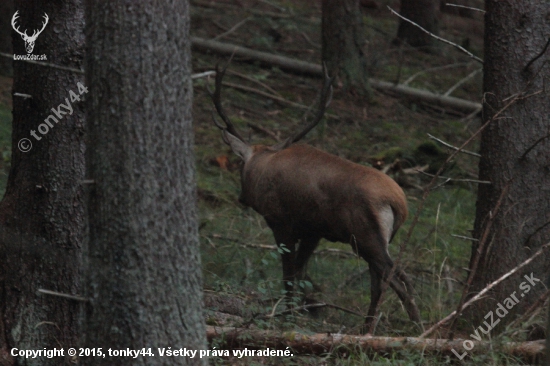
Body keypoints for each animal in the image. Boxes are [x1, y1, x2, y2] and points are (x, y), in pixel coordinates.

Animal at [210, 62, 422, 328]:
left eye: (240, 165)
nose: (241, 197)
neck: (261, 165)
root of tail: (400, 204)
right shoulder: (314, 232)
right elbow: (300, 272)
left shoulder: (281, 223)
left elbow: (288, 275)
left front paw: (287, 316)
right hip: (379, 240)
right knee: (384, 283)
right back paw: (367, 329)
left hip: (366, 236)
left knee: (401, 283)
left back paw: (417, 327)